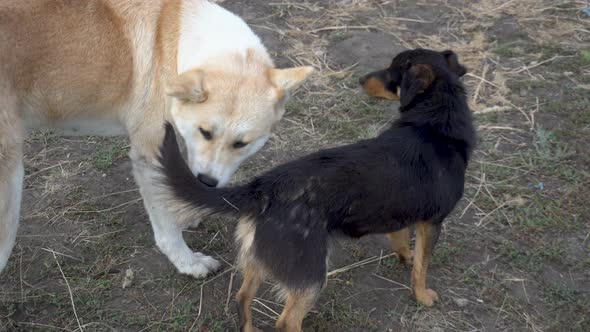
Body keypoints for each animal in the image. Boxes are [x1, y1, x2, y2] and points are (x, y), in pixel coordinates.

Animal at [0, 0, 314, 278]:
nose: (207, 183)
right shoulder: (150, 155)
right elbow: (166, 226)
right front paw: (187, 261)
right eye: (205, 132)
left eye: (241, 144)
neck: (173, 45)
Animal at [156, 49, 476, 332]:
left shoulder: (401, 212)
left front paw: (405, 257)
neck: (433, 122)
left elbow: (402, 243)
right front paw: (422, 296)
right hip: (310, 274)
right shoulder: (433, 222)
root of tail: (266, 186)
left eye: (390, 72)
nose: (361, 79)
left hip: (262, 258)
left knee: (242, 298)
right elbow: (422, 267)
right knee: (286, 322)